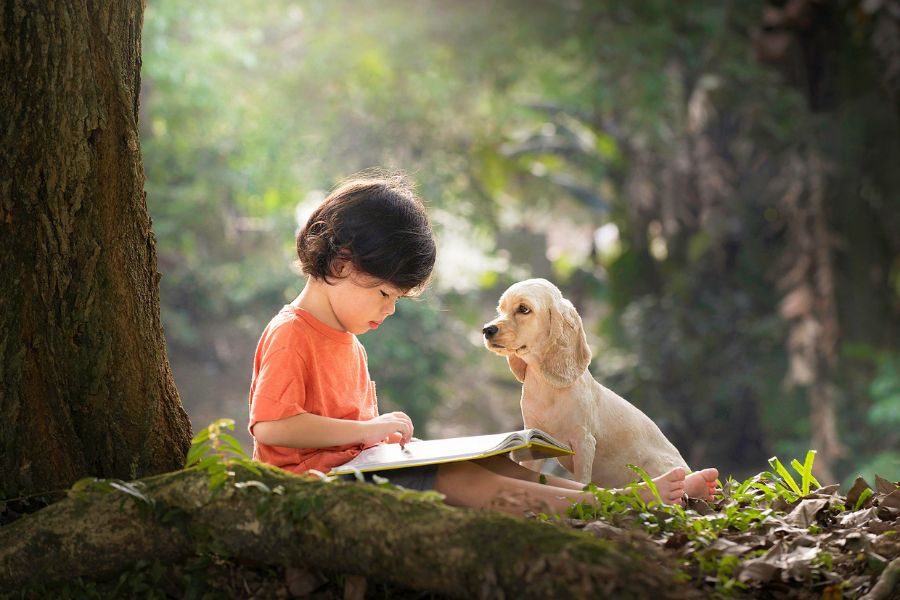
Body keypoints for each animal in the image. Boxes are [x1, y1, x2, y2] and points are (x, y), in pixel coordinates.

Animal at [486, 278, 688, 488]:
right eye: (500, 310)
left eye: (524, 309)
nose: (487, 330)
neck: (548, 387)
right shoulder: (534, 439)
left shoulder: (584, 442)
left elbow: (581, 482)